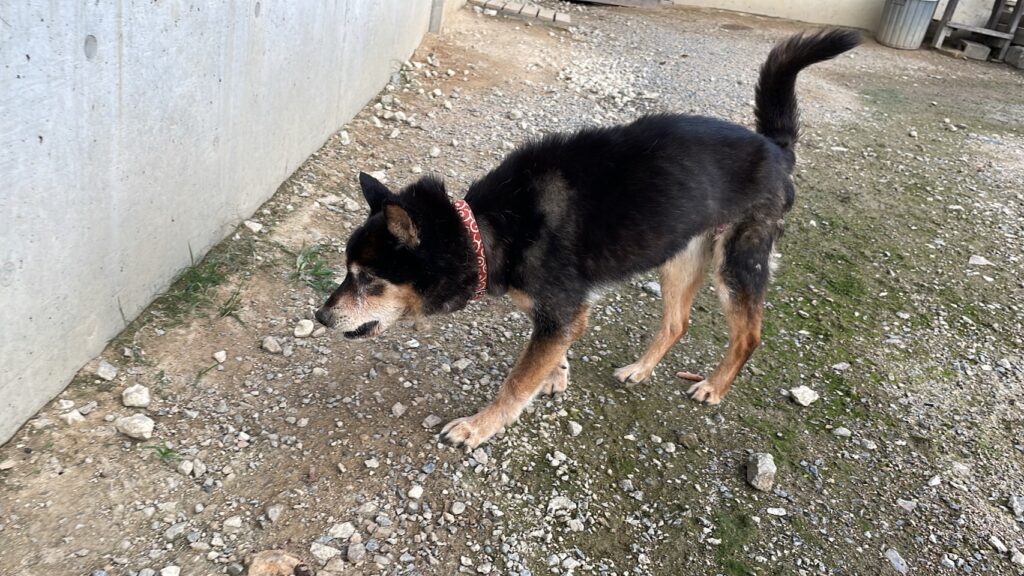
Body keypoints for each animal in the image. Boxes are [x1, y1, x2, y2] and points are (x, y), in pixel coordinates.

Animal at [315, 30, 860, 448]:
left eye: (367, 279)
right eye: (348, 273)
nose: (320, 316)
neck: (489, 229)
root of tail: (775, 147)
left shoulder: (558, 308)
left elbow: (516, 382)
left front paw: (479, 427)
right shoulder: (560, 311)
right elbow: (553, 352)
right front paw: (556, 376)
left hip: (736, 261)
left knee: (747, 334)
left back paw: (713, 387)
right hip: (678, 256)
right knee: (676, 322)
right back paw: (640, 370)